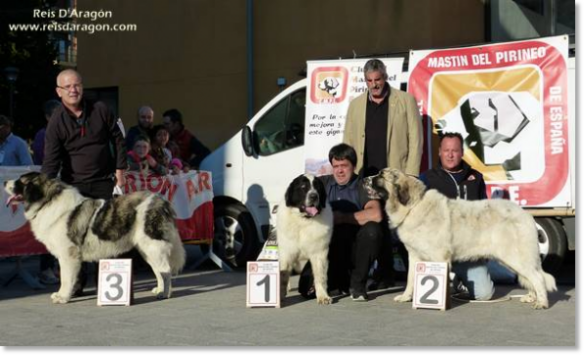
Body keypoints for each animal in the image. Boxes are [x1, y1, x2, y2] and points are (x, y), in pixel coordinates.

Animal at [4, 172, 185, 304]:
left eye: (20, 182)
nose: (5, 181)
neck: (47, 201)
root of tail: (161, 201)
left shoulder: (68, 254)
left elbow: (65, 278)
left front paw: (63, 297)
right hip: (147, 249)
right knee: (159, 270)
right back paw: (159, 289)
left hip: (153, 244)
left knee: (165, 270)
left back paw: (165, 293)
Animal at [274, 174, 330, 304]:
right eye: (303, 187)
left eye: (317, 187)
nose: (314, 196)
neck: (303, 220)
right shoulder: (286, 252)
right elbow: (283, 276)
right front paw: (280, 296)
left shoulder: (319, 252)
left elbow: (320, 276)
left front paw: (323, 296)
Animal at [362, 168, 556, 308]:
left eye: (380, 175)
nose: (363, 179)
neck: (413, 205)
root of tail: (526, 215)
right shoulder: (414, 255)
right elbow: (410, 279)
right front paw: (405, 297)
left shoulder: (440, 257)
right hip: (510, 258)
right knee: (531, 277)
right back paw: (531, 297)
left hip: (514, 256)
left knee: (537, 277)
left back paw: (541, 302)